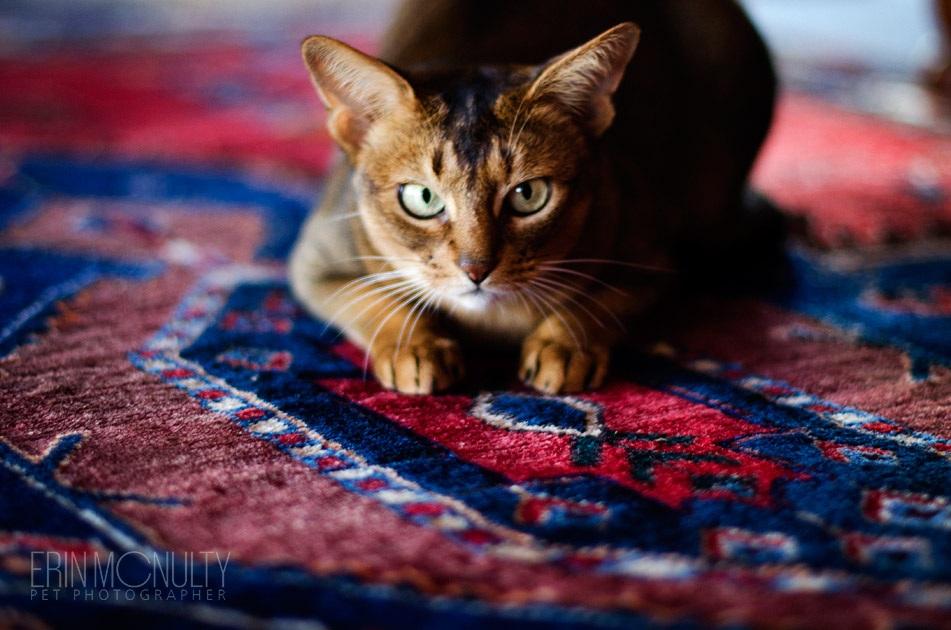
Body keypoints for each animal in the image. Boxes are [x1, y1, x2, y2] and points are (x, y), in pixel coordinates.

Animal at [288, 0, 772, 396]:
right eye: (422, 198)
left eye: (528, 195)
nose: (476, 270)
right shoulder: (316, 260)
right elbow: (376, 300)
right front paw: (418, 348)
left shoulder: (648, 261)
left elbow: (595, 303)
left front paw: (563, 347)